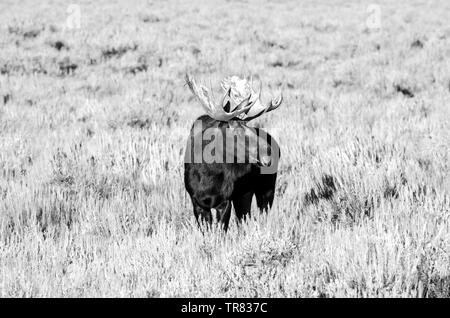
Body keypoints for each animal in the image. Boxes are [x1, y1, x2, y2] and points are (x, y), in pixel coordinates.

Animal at [183, 74, 282, 231]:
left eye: (248, 126)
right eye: (235, 130)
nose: (269, 152)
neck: (208, 174)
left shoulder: (224, 202)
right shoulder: (197, 204)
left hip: (266, 189)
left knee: (261, 216)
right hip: (244, 194)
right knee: (243, 218)